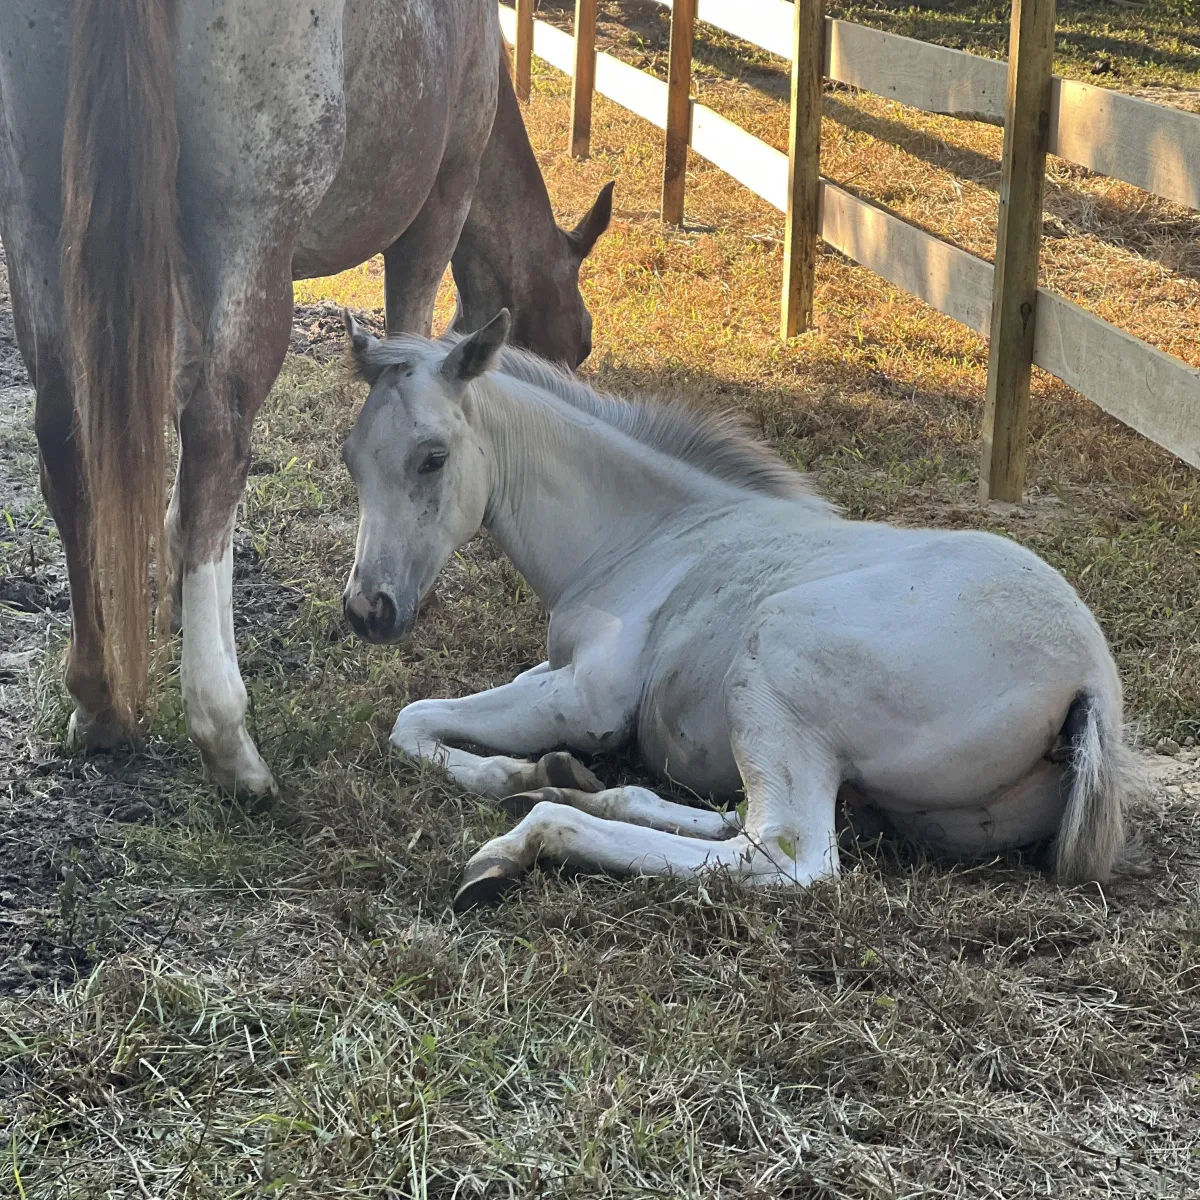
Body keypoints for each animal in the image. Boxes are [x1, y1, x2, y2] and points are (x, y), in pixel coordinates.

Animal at [0, 0, 610, 797]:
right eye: (583, 341)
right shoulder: (437, 206)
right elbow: (411, 344)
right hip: (249, 238)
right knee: (215, 442)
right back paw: (226, 735)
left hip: (39, 221)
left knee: (66, 442)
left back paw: (97, 697)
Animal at [339, 312, 1143, 911]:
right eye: (351, 458)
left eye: (433, 458)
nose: (366, 611)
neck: (649, 534)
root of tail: (1090, 679)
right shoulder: (551, 672)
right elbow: (423, 720)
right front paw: (538, 769)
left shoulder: (585, 701)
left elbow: (411, 719)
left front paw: (511, 777)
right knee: (726, 818)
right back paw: (577, 785)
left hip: (773, 658)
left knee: (782, 853)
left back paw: (524, 839)